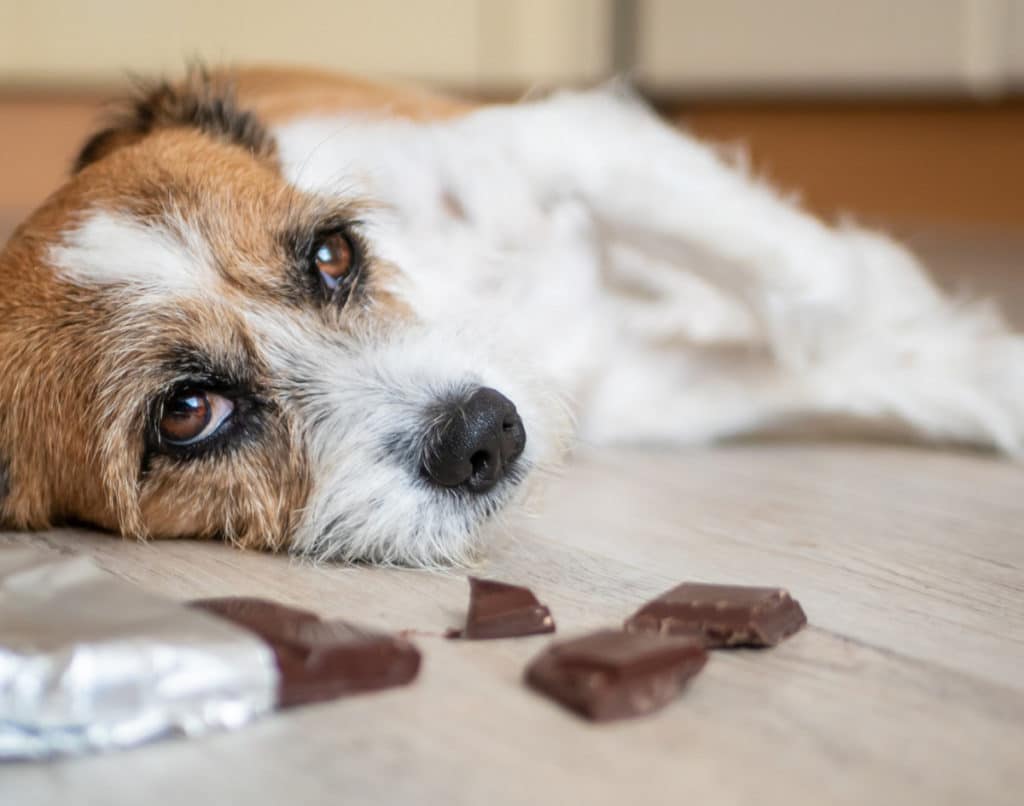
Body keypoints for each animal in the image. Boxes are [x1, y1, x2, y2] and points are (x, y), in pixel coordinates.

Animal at [2, 66, 1024, 565]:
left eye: (332, 255)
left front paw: (904, 306)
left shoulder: (566, 144)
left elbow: (814, 284)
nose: (484, 433)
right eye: (185, 415)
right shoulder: (651, 393)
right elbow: (857, 362)